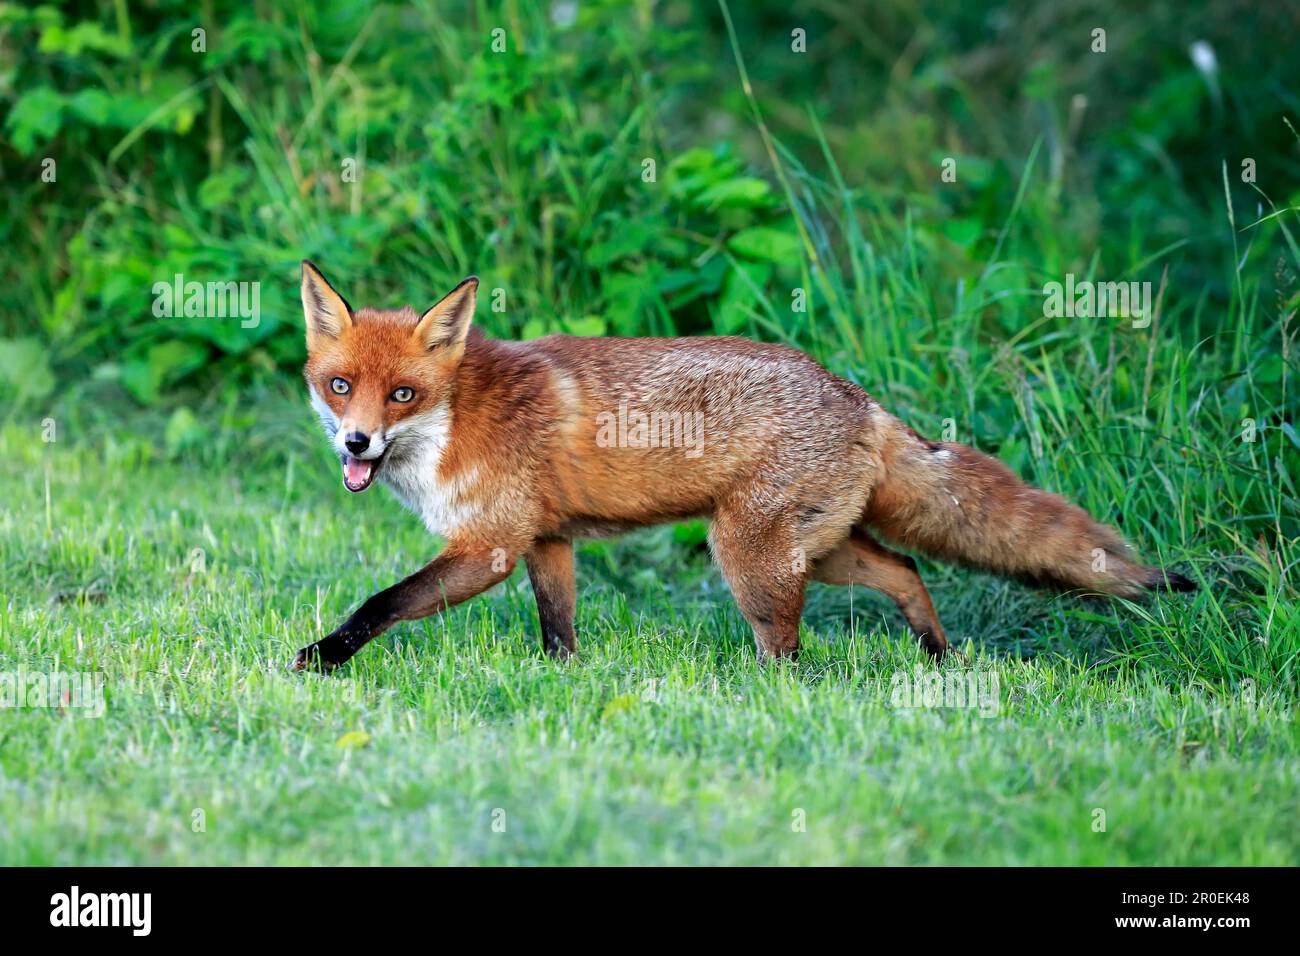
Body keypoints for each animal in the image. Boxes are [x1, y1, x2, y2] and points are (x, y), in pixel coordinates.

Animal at [290, 261, 1194, 672]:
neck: (458, 416)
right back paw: (937, 656)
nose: (356, 444)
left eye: (402, 394)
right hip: (820, 550)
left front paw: (325, 656)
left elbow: (385, 600)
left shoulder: (490, 546)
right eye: (340, 387)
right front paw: (562, 681)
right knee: (905, 570)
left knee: (791, 655)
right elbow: (558, 628)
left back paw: (768, 696)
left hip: (750, 555)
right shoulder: (546, 541)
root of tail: (858, 396)